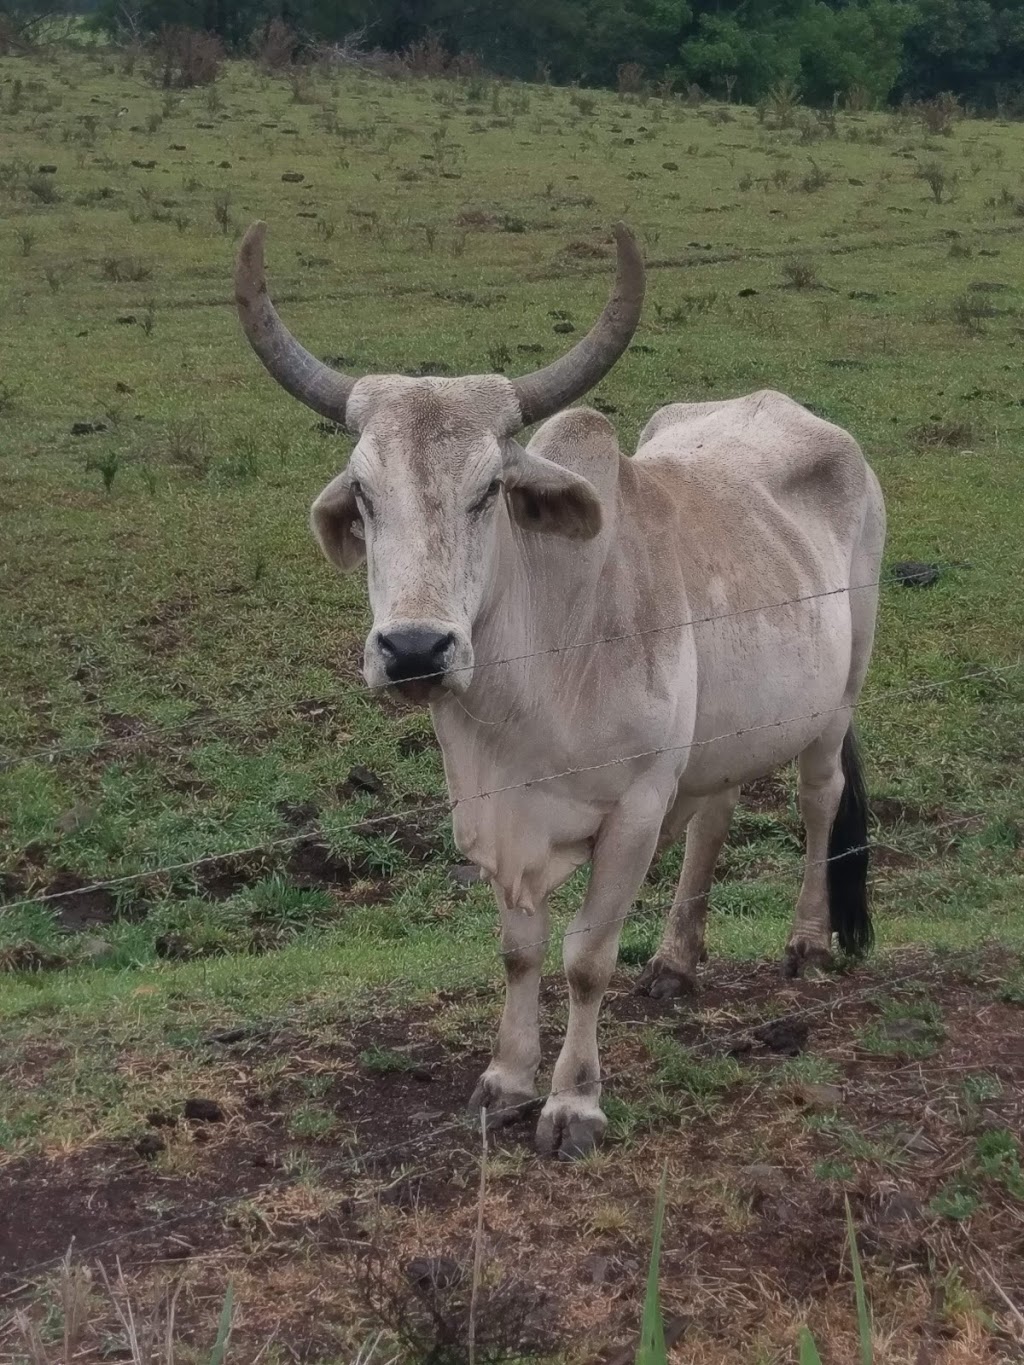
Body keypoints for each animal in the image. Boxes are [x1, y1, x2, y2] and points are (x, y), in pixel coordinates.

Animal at [236, 218, 884, 1157]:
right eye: (363, 491)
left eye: (489, 491)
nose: (415, 648)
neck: (533, 686)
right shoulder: (495, 815)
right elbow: (521, 949)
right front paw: (506, 1078)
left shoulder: (637, 810)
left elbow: (584, 958)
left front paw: (574, 1101)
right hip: (721, 735)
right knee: (716, 816)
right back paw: (677, 959)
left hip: (838, 698)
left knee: (818, 800)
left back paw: (806, 943)